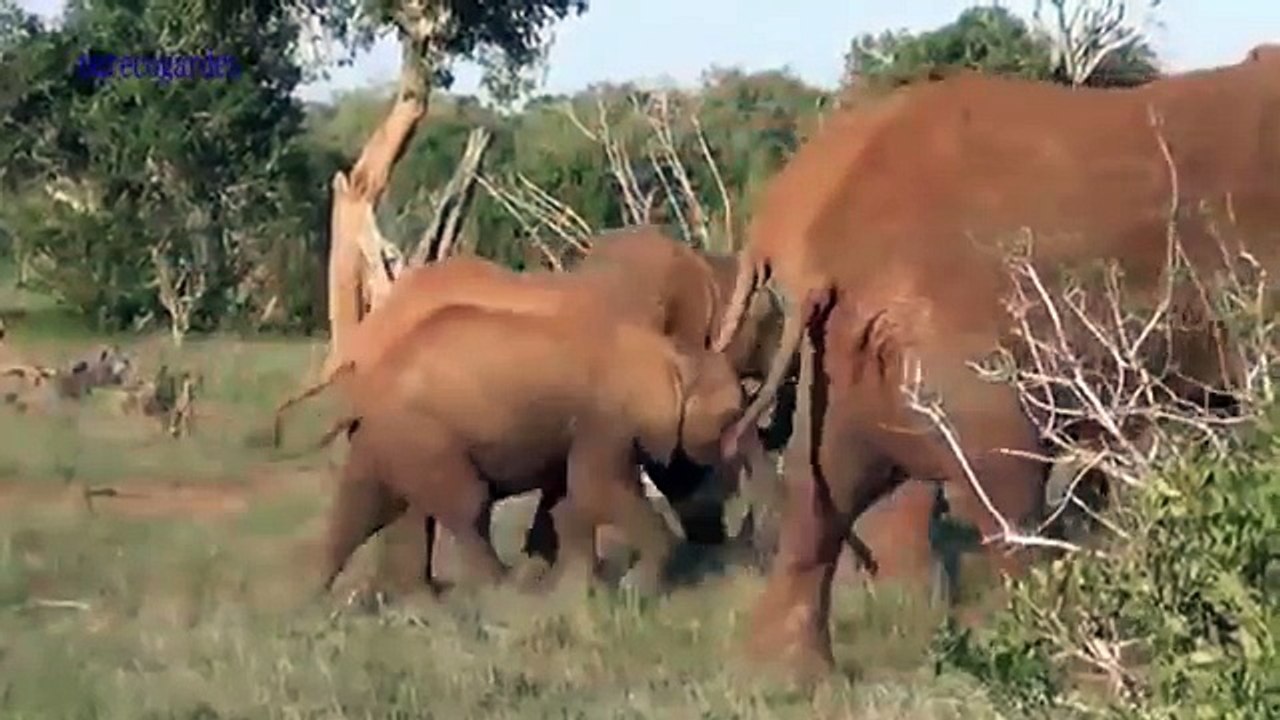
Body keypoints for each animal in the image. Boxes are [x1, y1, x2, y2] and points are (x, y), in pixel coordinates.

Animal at [318, 302, 744, 597]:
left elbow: (570, 499)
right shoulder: (606, 419)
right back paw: (504, 592)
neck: (672, 352)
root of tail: (365, 386)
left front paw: (578, 590)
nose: (718, 555)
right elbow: (596, 490)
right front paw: (633, 590)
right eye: (729, 420)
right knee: (466, 504)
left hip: (391, 439)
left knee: (367, 507)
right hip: (423, 435)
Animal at [711, 55, 1280, 677]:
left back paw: (790, 680)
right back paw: (1077, 660)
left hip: (841, 358)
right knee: (1007, 500)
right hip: (953, 357)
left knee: (820, 494)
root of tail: (827, 255)